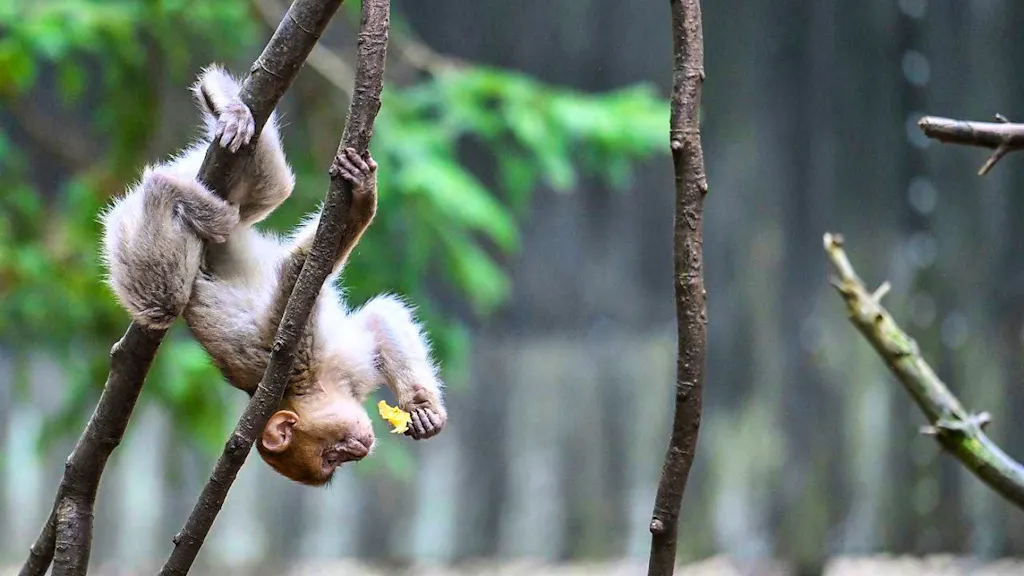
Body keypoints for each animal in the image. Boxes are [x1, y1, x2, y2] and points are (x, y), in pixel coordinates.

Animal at [100, 65, 447, 486]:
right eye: (334, 458)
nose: (361, 449)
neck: (314, 384)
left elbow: (374, 314)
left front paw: (422, 407)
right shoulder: (295, 351)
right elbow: (301, 269)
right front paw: (365, 200)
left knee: (270, 187)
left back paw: (226, 108)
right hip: (132, 231)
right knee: (164, 304)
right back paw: (164, 189)